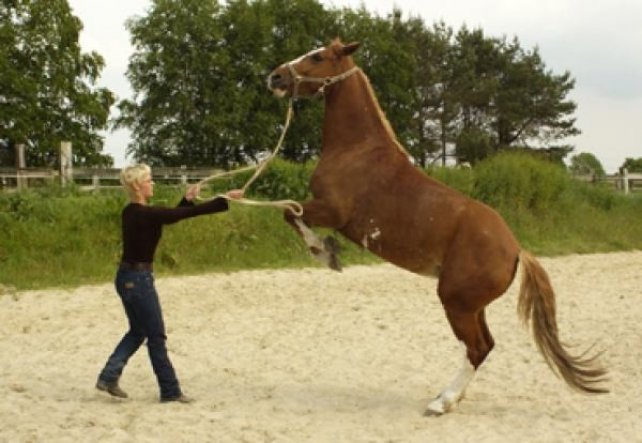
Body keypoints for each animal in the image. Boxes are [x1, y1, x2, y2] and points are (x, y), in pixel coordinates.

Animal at [264, 38, 604, 416]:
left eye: (318, 56)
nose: (275, 77)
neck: (357, 151)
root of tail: (516, 251)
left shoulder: (331, 210)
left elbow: (290, 213)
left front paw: (325, 253)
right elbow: (290, 213)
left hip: (456, 302)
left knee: (477, 348)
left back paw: (442, 401)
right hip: (473, 306)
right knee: (485, 345)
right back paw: (454, 396)